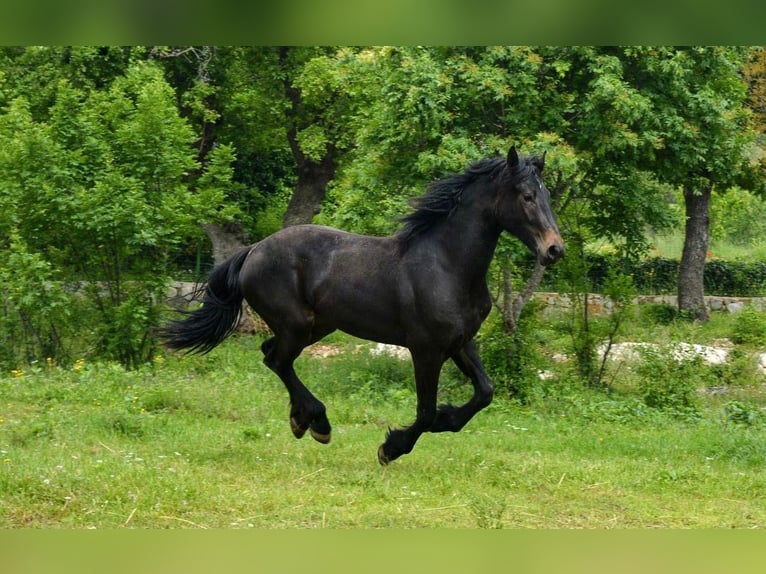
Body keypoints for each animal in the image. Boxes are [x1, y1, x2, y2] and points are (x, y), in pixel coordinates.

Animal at [161, 146, 564, 464]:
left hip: (317, 326)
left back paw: (301, 421)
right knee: (277, 360)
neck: (447, 265)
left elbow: (484, 392)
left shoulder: (462, 343)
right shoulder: (427, 349)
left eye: (546, 196)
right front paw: (391, 448)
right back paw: (318, 423)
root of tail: (254, 250)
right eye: (526, 196)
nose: (554, 250)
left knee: (271, 353)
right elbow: (425, 411)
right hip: (297, 325)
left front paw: (446, 420)